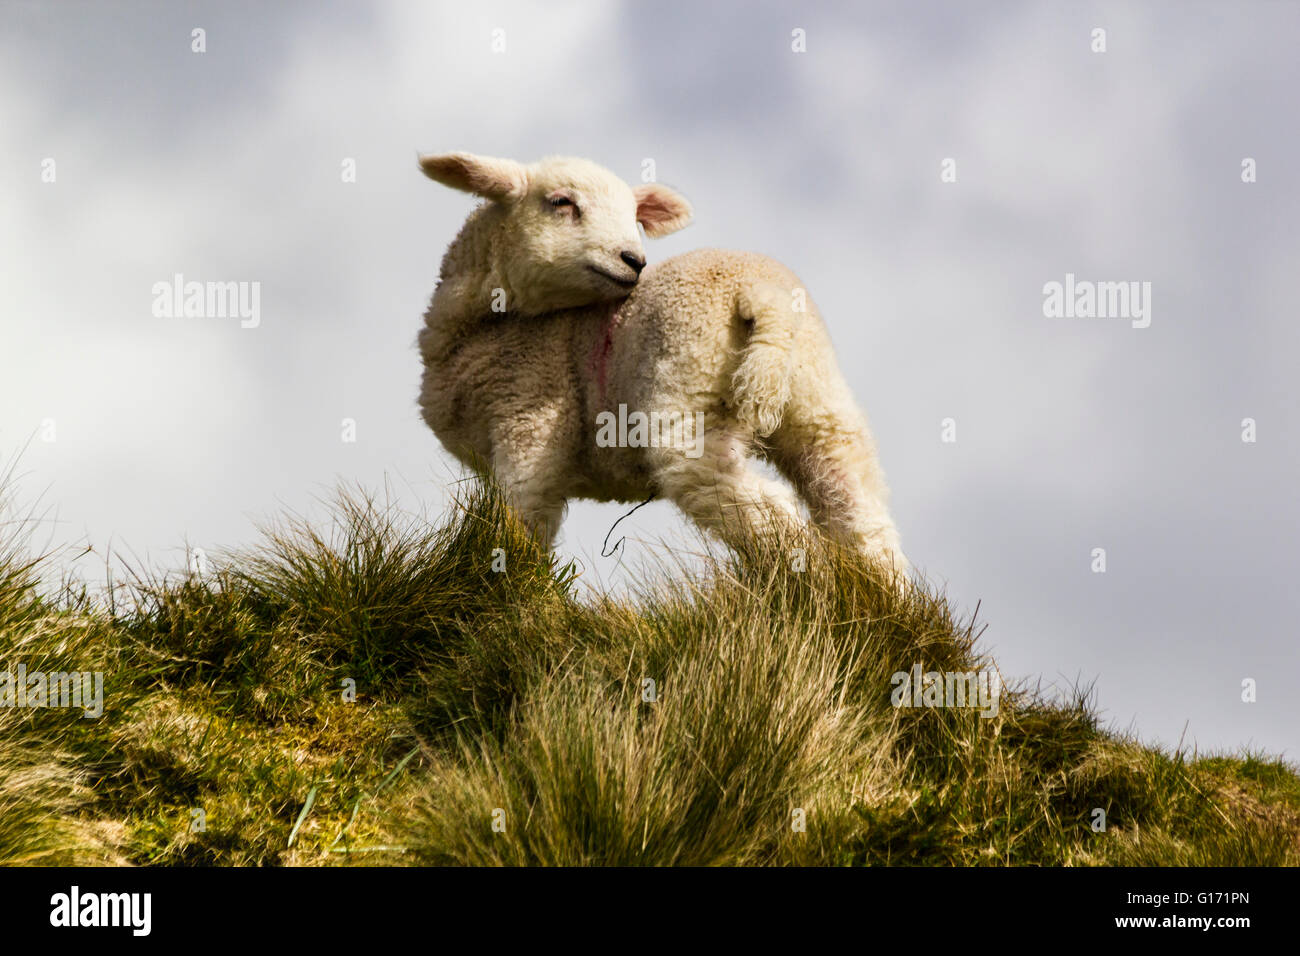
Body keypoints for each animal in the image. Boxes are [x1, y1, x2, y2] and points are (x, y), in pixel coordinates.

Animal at [413, 151, 904, 574]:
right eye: (561, 203)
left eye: (635, 217)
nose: (634, 260)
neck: (480, 327)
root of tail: (763, 296)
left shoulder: (529, 425)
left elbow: (519, 530)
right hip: (819, 405)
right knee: (860, 517)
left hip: (687, 395)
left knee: (766, 509)